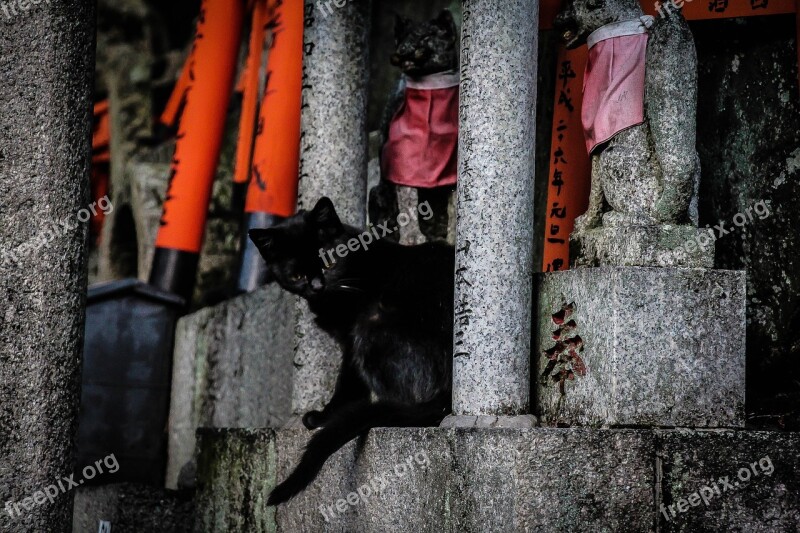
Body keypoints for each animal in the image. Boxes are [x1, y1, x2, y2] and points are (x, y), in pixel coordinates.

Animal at [247, 196, 454, 502]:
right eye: (296, 275)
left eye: (330, 260)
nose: (317, 286)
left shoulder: (351, 338)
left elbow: (346, 383)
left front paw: (325, 416)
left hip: (371, 323)